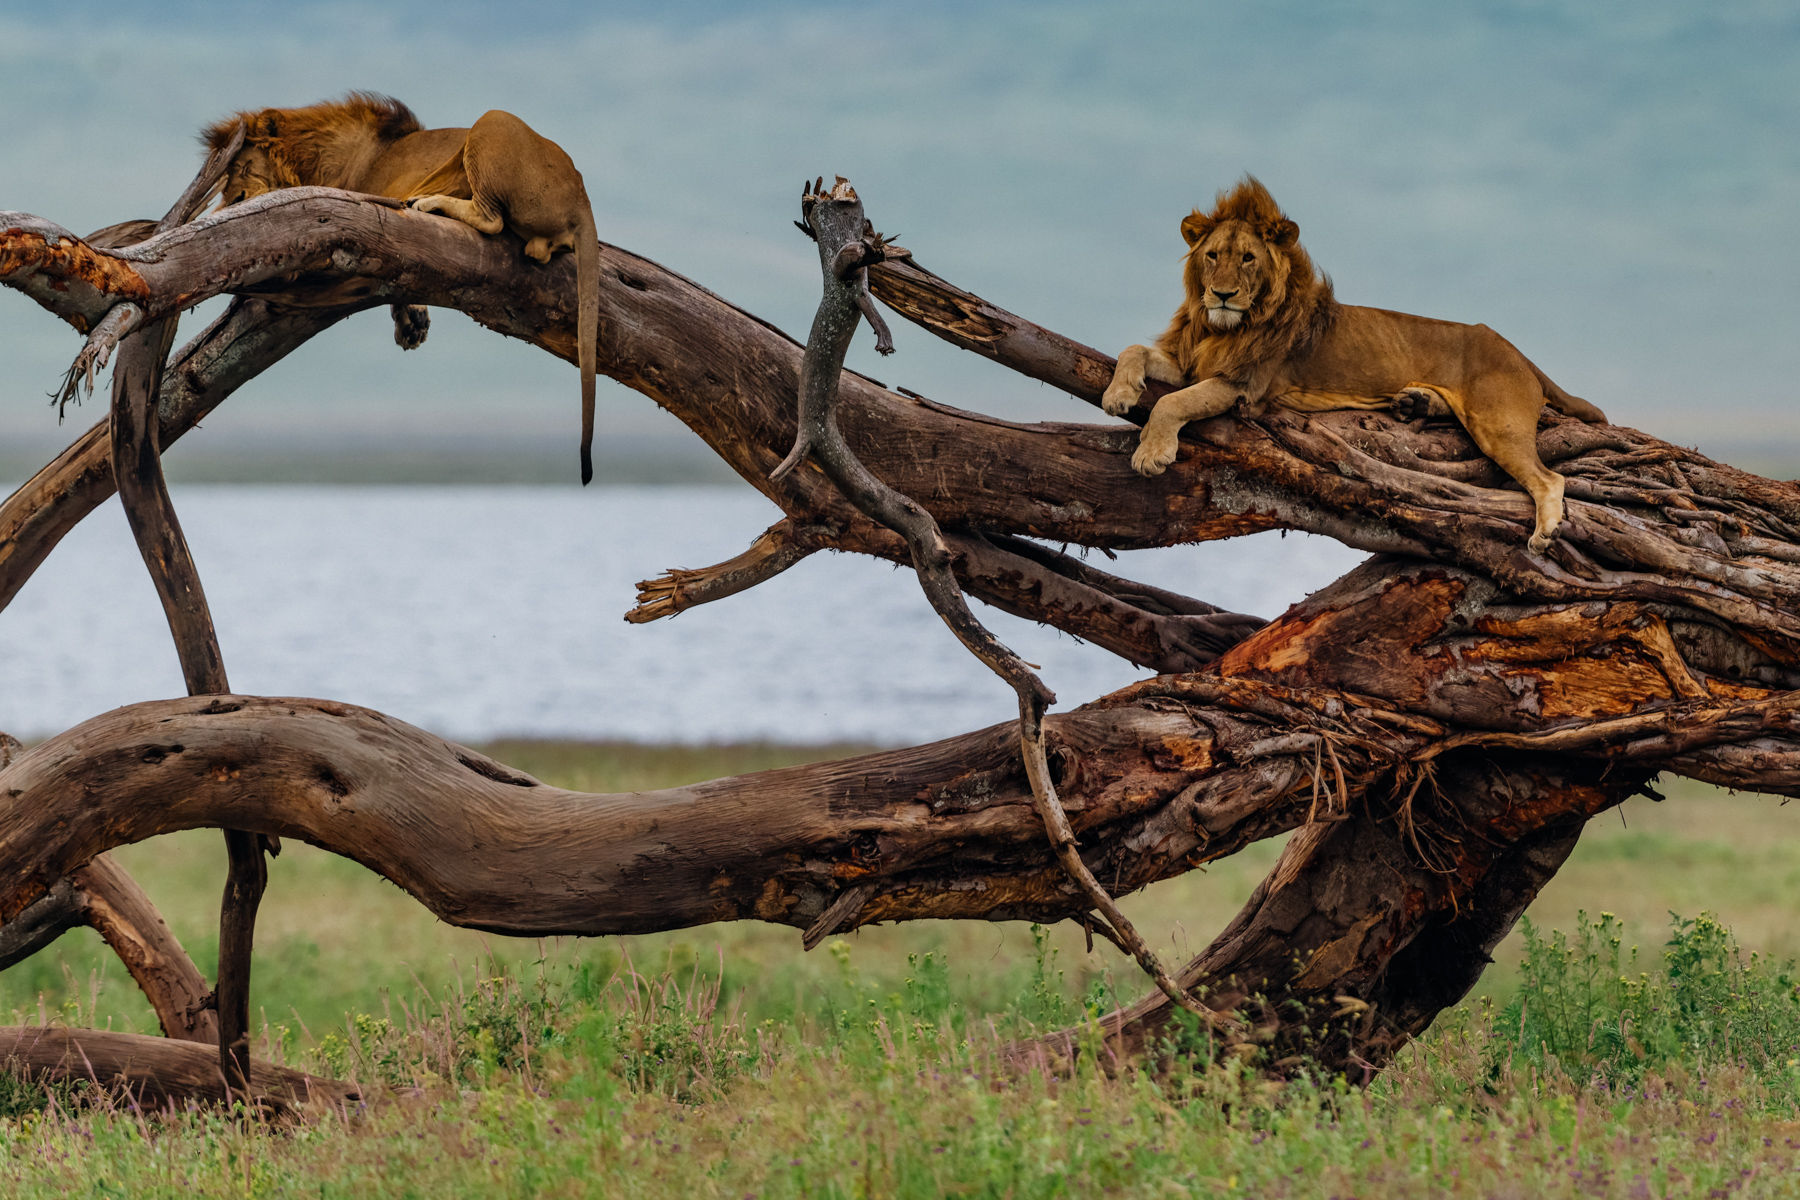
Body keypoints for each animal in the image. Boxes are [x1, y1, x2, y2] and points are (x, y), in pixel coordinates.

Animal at [204, 93, 601, 483]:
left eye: (243, 168)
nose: (232, 203)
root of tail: (582, 199)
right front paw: (413, 322)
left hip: (493, 120)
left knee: (491, 219)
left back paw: (430, 203)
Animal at [1102, 177, 1607, 553]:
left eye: (1247, 258)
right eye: (1212, 256)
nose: (1222, 294)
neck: (1219, 328)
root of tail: (1517, 350)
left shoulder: (1242, 383)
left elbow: (1173, 403)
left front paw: (1150, 454)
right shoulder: (1191, 361)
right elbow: (1133, 350)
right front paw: (1118, 394)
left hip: (1497, 423)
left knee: (1550, 478)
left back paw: (1544, 533)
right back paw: (1414, 403)